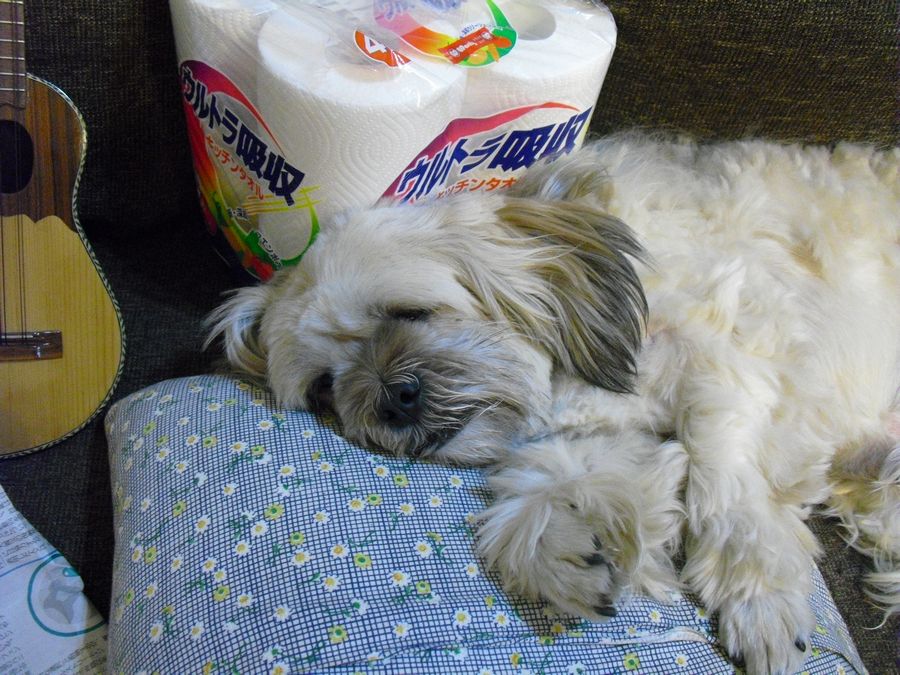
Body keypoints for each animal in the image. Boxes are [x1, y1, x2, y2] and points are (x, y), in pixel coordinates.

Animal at [207, 134, 900, 675]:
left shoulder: (736, 349)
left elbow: (720, 475)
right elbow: (565, 475)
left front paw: (756, 596)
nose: (391, 400)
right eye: (325, 387)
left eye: (407, 313)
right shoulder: (600, 430)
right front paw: (563, 547)